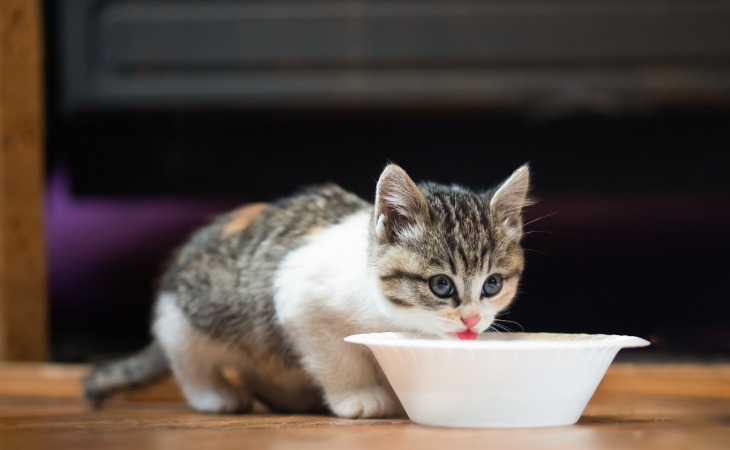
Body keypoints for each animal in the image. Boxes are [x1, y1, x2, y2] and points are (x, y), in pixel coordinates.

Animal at [84, 163, 528, 420]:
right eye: (441, 285)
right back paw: (215, 395)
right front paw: (360, 398)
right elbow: (336, 357)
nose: (471, 321)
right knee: (190, 357)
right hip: (191, 318)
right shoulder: (299, 301)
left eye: (492, 284)